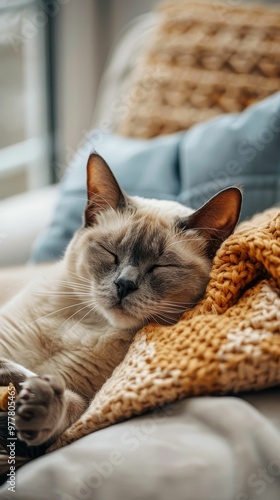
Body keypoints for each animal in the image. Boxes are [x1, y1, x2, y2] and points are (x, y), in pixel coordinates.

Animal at [0, 153, 242, 468]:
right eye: (110, 253)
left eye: (159, 266)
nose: (124, 284)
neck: (92, 325)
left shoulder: (83, 396)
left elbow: (72, 404)